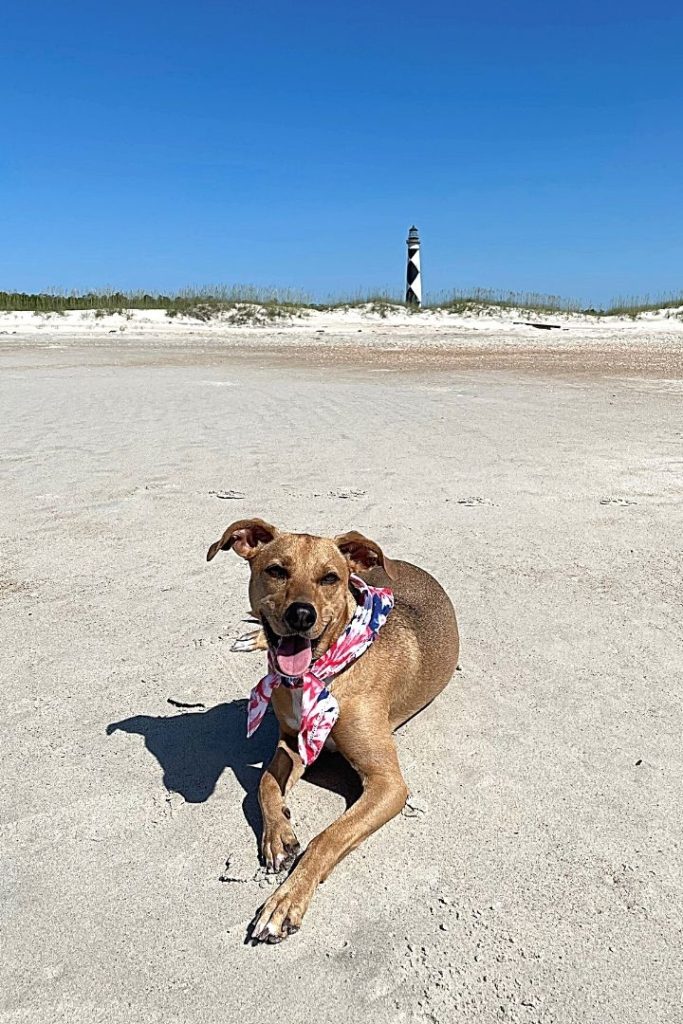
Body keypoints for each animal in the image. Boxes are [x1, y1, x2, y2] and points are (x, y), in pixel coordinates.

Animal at [205, 520, 456, 942]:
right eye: (276, 570)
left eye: (329, 578)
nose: (302, 615)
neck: (319, 673)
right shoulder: (292, 744)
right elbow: (264, 784)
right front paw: (277, 834)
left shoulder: (388, 784)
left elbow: (328, 837)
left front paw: (285, 901)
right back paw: (253, 637)